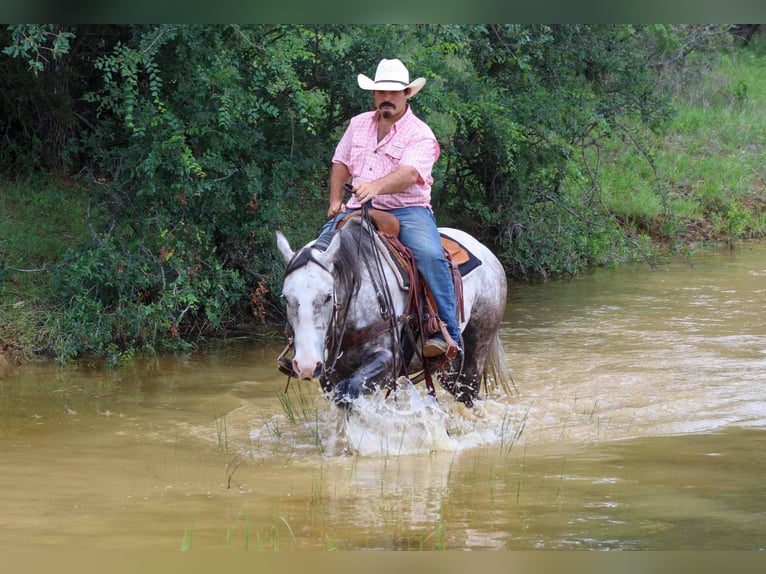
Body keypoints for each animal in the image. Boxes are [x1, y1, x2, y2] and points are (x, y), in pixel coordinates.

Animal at [275, 215, 512, 409]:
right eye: (285, 297)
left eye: (327, 296)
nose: (306, 365)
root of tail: (485, 251)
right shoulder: (331, 374)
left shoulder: (388, 364)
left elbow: (348, 391)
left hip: (478, 345)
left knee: (468, 392)